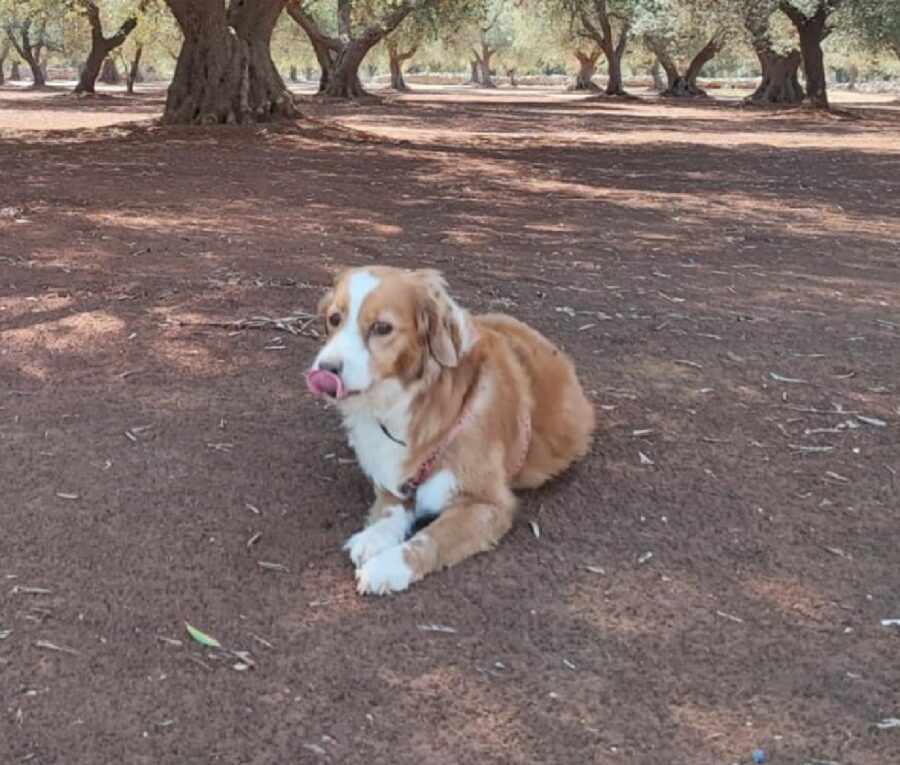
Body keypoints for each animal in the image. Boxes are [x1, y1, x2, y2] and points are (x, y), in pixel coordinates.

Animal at [306, 266, 596, 592]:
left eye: (382, 328)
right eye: (334, 319)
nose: (325, 369)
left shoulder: (487, 504)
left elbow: (430, 539)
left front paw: (387, 566)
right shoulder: (394, 479)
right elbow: (392, 509)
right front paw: (374, 537)